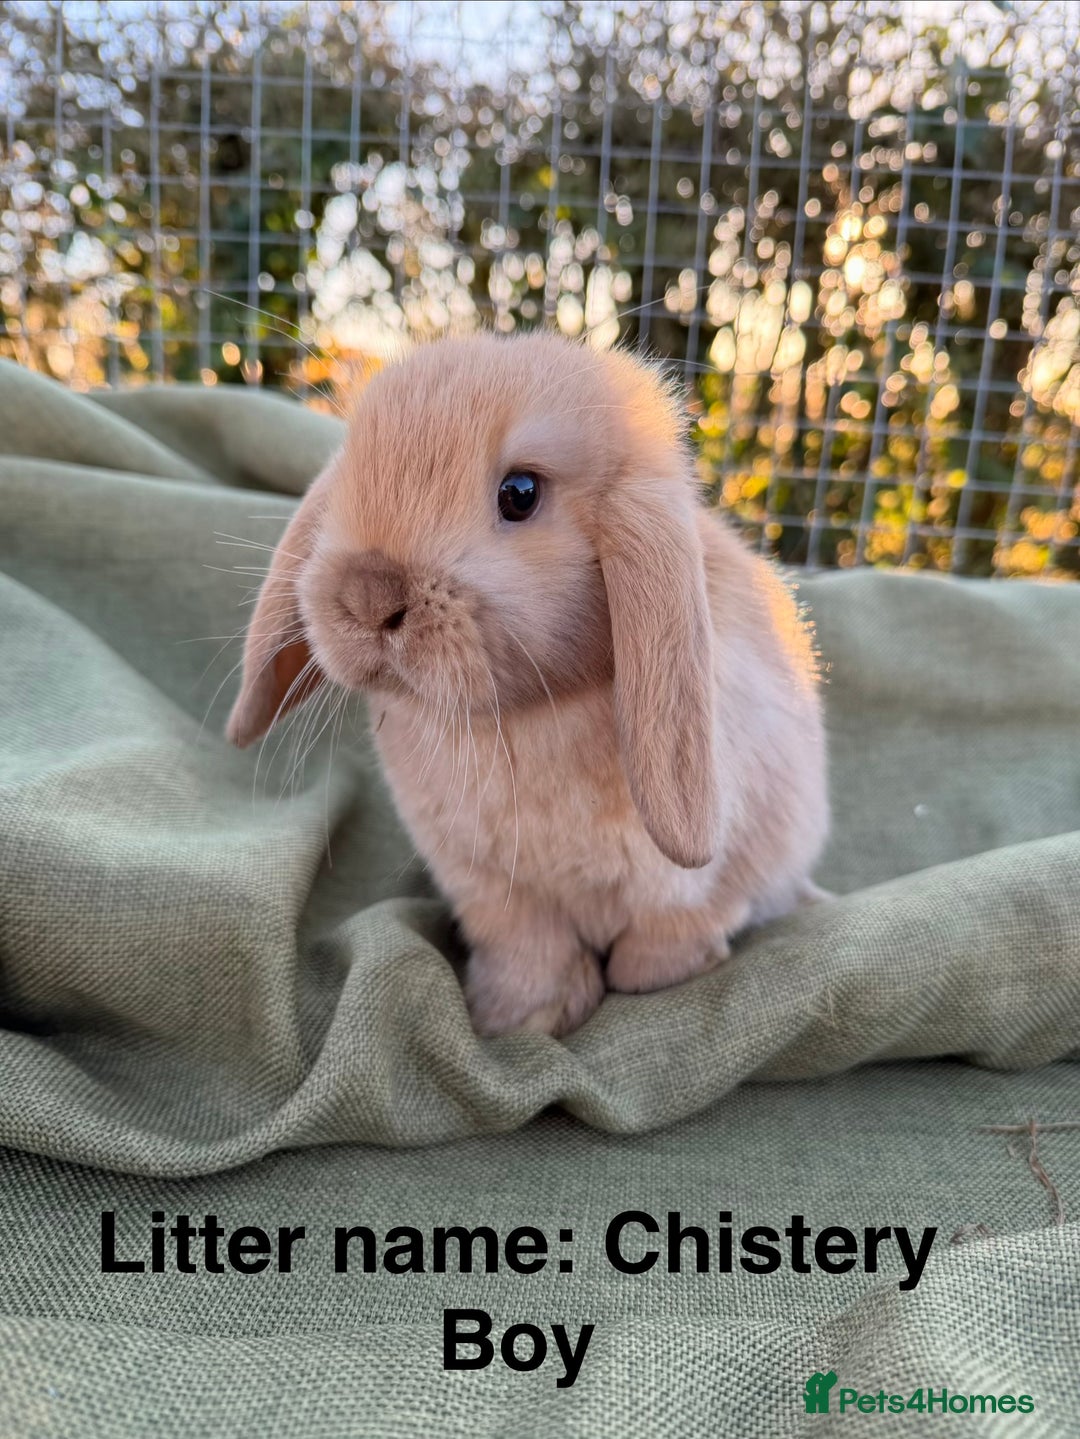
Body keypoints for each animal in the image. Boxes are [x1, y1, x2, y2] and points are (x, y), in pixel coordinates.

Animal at [226, 331, 830, 1037]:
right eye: (352, 469)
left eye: (520, 492)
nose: (368, 596)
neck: (526, 713)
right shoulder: (492, 889)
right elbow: (530, 950)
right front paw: (517, 1017)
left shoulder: (702, 869)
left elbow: (685, 919)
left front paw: (651, 978)